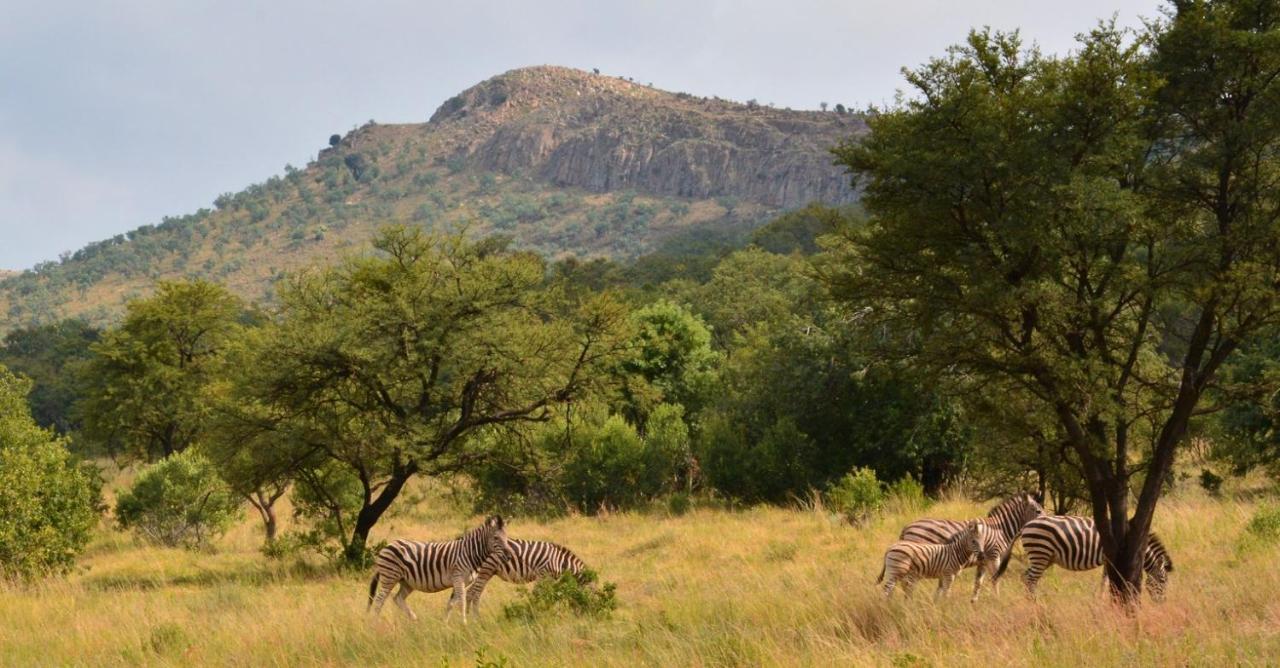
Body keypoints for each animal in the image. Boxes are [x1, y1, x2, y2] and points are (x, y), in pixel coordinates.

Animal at [366, 511, 509, 621]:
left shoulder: (461, 582)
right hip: (390, 576)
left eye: (507, 537)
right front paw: (464, 624)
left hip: (407, 581)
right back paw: (375, 625)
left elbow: (451, 603)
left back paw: (414, 619)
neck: (470, 552)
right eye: (496, 538)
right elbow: (461, 602)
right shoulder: (458, 577)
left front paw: (445, 624)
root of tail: (387, 546)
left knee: (397, 599)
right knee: (379, 601)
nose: (508, 554)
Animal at [896, 491, 1044, 596]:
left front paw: (974, 603)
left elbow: (978, 582)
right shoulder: (994, 556)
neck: (1000, 528)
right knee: (907, 583)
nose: (1046, 520)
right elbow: (995, 579)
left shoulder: (983, 560)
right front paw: (997, 599)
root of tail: (907, 527)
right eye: (1038, 511)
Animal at [1013, 511, 1172, 601]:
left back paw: (1030, 602)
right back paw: (1035, 604)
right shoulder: (1109, 558)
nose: (1162, 602)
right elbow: (1107, 579)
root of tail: (1026, 525)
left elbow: (1105, 579)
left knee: (1025, 577)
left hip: (1045, 557)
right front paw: (1103, 599)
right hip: (1041, 552)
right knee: (1031, 579)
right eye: (1163, 580)